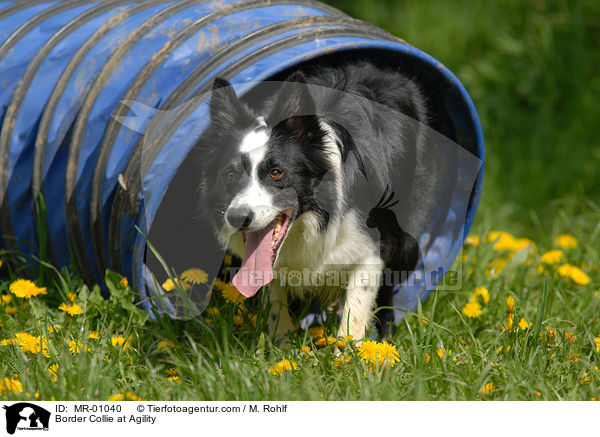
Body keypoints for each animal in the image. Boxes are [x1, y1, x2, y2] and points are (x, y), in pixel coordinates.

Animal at [197, 60, 436, 340]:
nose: (237, 218)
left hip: (406, 235)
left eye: (276, 172)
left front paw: (351, 350)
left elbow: (353, 317)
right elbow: (275, 304)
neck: (311, 218)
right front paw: (282, 344)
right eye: (230, 175)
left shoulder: (372, 248)